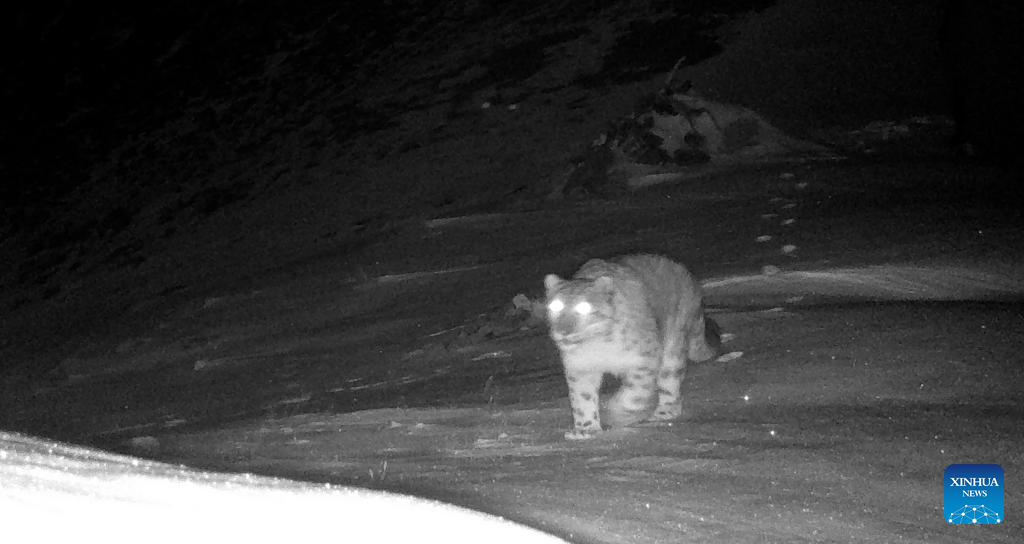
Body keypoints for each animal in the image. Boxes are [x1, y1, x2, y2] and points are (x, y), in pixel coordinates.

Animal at [544, 254, 720, 438]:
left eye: (584, 307)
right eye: (555, 306)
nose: (563, 331)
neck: (597, 346)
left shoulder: (643, 361)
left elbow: (635, 394)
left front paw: (616, 414)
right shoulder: (580, 368)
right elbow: (582, 398)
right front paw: (585, 429)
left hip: (673, 348)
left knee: (670, 383)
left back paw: (663, 412)